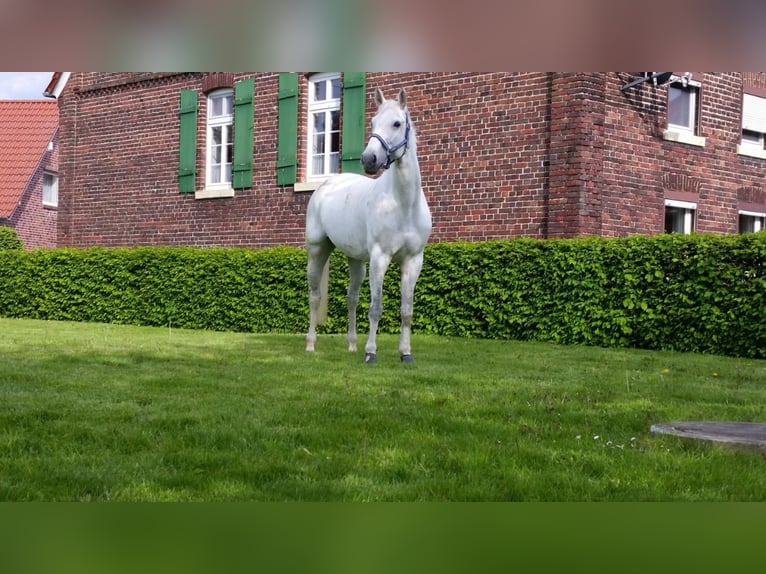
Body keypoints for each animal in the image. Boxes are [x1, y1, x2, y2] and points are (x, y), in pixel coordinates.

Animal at [304, 85, 432, 364]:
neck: (404, 205)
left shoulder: (413, 261)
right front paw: (371, 352)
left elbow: (407, 310)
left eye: (397, 123)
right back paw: (310, 344)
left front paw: (406, 353)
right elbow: (375, 308)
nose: (369, 159)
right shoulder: (380, 258)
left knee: (351, 298)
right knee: (315, 297)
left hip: (356, 260)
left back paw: (352, 344)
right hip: (318, 251)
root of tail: (325, 185)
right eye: (372, 121)